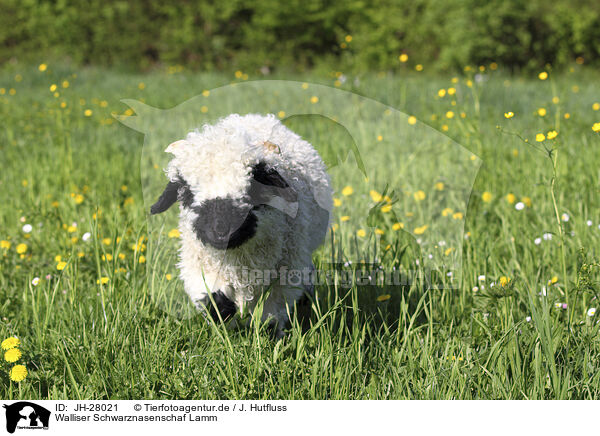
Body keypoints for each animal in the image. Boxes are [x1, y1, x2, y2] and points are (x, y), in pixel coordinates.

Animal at [150, 112, 332, 334]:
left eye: (254, 186)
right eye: (187, 192)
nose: (221, 230)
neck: (237, 259)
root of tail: (256, 117)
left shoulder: (286, 273)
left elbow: (270, 316)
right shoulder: (199, 265)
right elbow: (213, 299)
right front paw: (225, 323)